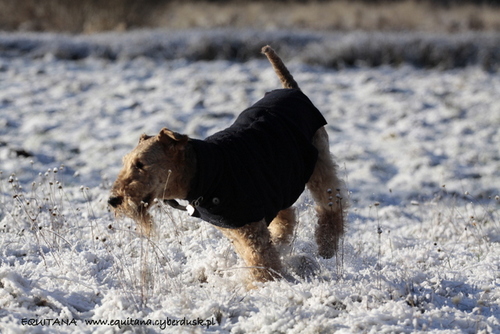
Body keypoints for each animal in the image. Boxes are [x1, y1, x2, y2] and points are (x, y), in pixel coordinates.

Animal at [107, 45, 346, 284]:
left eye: (140, 164)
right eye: (125, 163)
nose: (113, 200)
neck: (202, 171)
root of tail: (292, 89)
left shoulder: (250, 228)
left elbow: (262, 260)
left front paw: (265, 285)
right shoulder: (236, 229)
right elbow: (256, 257)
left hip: (319, 167)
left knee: (331, 207)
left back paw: (326, 249)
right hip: (281, 180)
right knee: (288, 215)